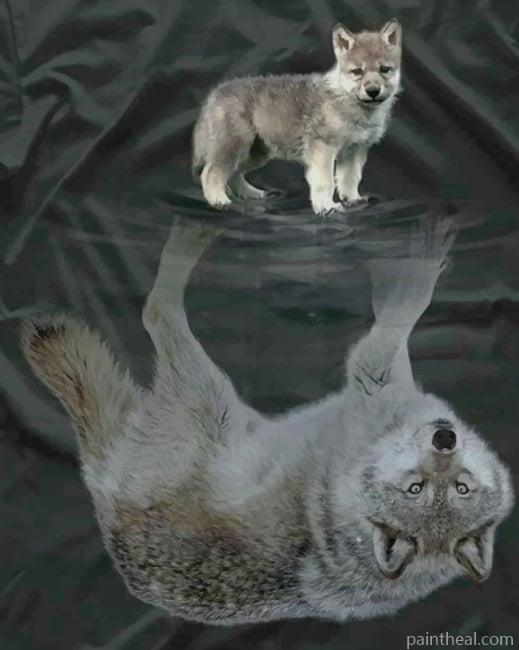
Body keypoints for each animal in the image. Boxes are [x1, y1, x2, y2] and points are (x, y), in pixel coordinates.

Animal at [21, 216, 513, 625]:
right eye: (419, 489)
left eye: (458, 487)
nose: (444, 438)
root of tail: (103, 497)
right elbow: (401, 310)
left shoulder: (372, 376)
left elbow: (403, 310)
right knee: (155, 312)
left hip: (207, 395)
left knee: (156, 310)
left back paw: (187, 241)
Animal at [192, 20, 403, 216]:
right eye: (357, 72)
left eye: (384, 69)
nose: (373, 91)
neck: (347, 101)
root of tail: (215, 94)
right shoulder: (323, 149)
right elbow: (325, 181)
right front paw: (326, 207)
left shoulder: (354, 151)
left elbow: (350, 179)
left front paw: (353, 200)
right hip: (234, 146)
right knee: (211, 172)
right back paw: (219, 201)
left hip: (256, 153)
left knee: (233, 173)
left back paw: (251, 193)